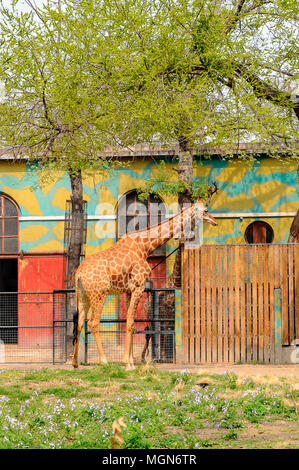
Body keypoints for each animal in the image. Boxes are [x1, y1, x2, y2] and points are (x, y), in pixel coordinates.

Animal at [72, 197, 218, 368]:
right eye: (205, 210)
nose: (215, 221)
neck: (145, 246)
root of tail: (79, 273)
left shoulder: (128, 290)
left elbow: (131, 321)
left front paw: (130, 362)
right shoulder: (139, 285)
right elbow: (131, 323)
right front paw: (128, 363)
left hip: (83, 296)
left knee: (79, 323)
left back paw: (75, 363)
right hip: (99, 294)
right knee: (93, 322)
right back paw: (104, 361)